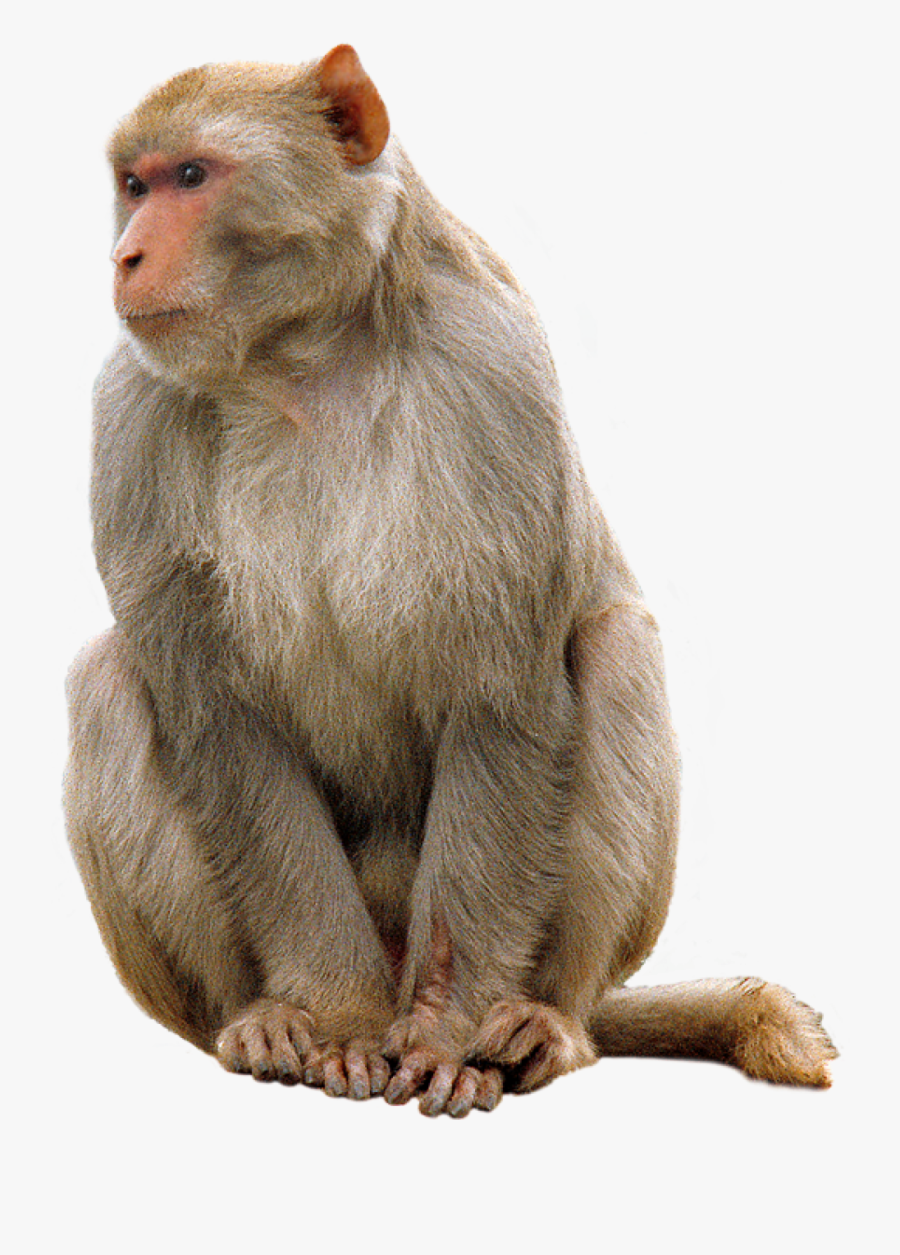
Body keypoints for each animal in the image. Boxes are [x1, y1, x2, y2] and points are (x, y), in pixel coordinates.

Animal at [64, 44, 837, 1117]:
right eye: (134, 186)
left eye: (191, 176)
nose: (126, 256)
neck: (300, 359)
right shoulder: (130, 413)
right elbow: (223, 725)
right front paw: (337, 1017)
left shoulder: (493, 376)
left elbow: (500, 699)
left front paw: (443, 1031)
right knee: (106, 680)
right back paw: (259, 1019)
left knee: (616, 649)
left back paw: (543, 1023)